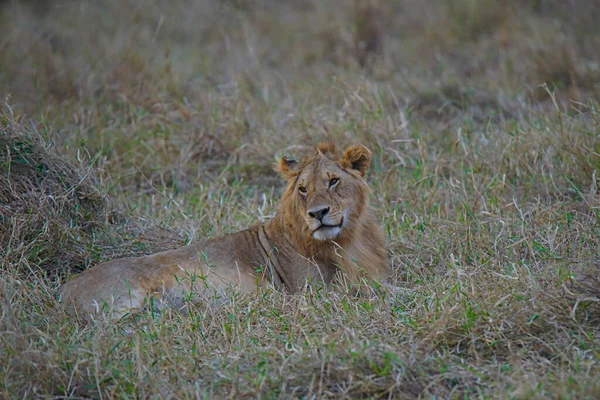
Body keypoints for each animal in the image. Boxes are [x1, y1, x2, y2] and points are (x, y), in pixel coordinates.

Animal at [59, 142, 390, 318]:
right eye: (303, 190)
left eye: (333, 181)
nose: (317, 214)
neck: (349, 239)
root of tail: (63, 291)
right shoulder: (311, 290)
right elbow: (363, 291)